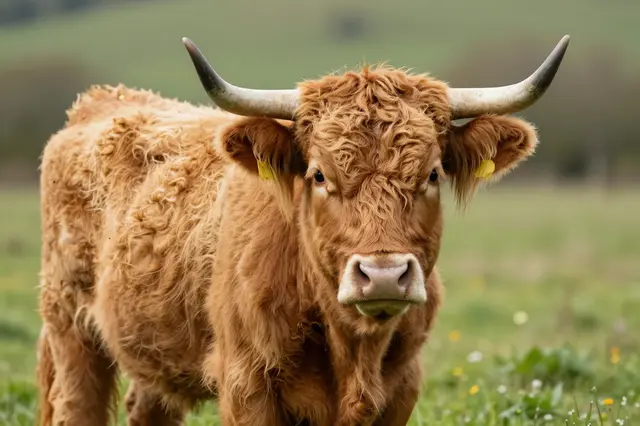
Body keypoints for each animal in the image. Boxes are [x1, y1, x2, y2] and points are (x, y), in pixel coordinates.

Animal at [35, 35, 570, 426]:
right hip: (70, 331)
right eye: (318, 175)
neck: (352, 350)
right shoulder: (245, 386)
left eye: (432, 174)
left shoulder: (401, 388)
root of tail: (100, 101)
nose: (382, 275)